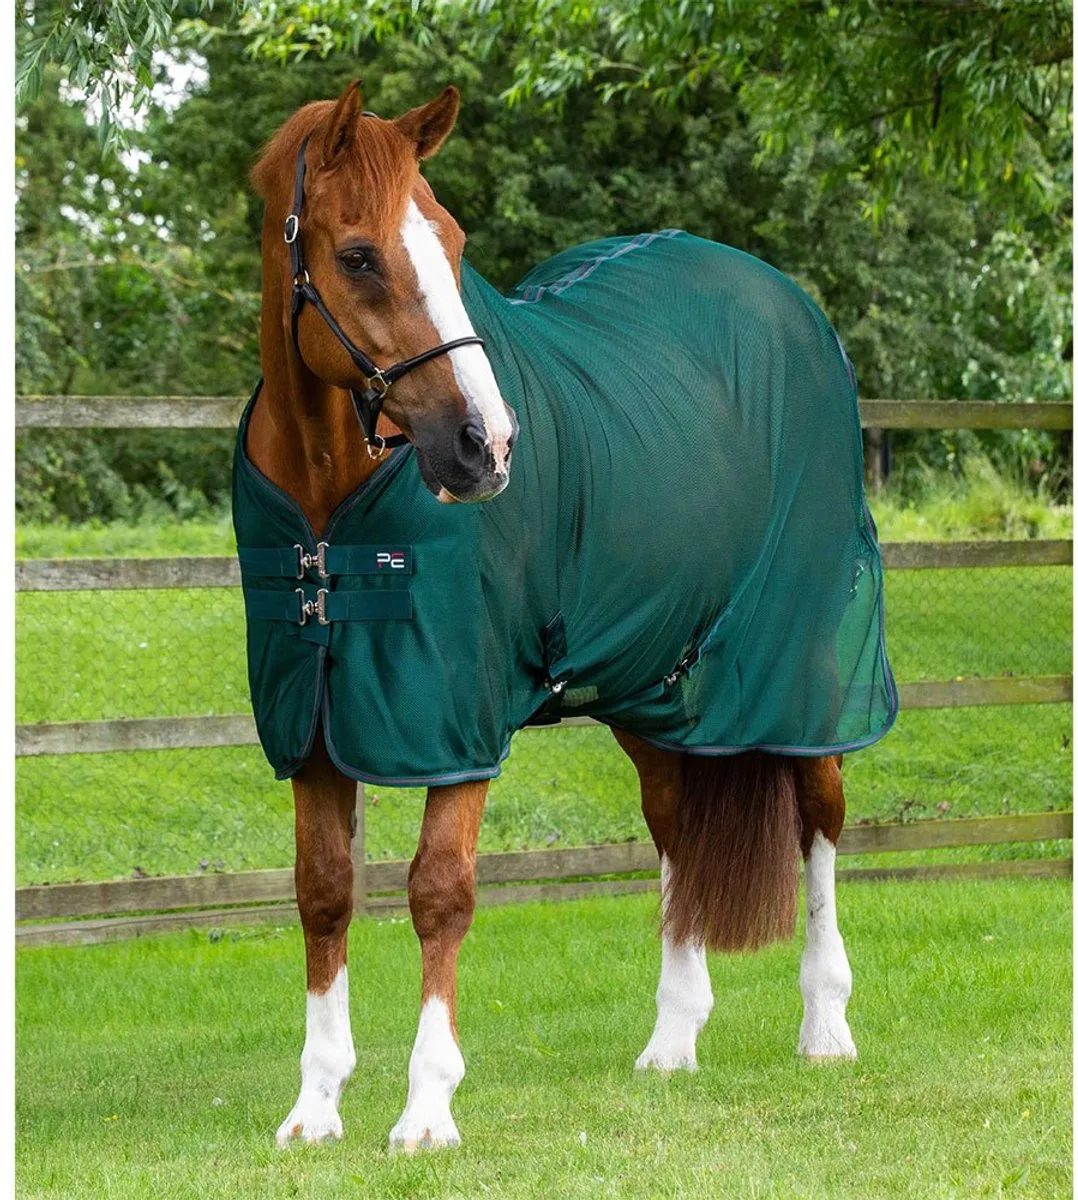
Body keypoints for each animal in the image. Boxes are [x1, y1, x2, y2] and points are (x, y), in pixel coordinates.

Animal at [244, 80, 884, 1152]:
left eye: (452, 241)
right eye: (358, 254)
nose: (486, 446)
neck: (330, 521)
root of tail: (789, 305)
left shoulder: (454, 718)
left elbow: (440, 891)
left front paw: (427, 1110)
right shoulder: (318, 723)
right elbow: (324, 892)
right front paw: (314, 1107)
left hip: (799, 671)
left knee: (821, 820)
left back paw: (828, 1024)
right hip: (658, 688)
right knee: (675, 829)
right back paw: (672, 1041)